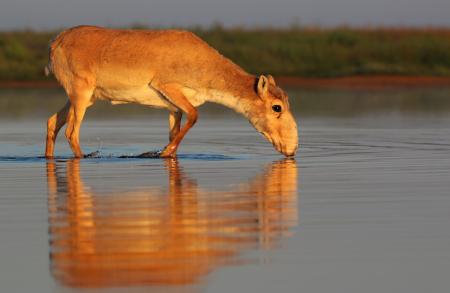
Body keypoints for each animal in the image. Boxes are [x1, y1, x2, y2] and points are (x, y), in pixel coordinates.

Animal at [44, 25, 298, 157]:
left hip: (86, 97)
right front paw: (165, 151)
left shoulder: (173, 107)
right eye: (277, 107)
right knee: (71, 132)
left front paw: (168, 151)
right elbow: (194, 115)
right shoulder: (167, 86)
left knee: (52, 122)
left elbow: (175, 130)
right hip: (81, 93)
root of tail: (56, 42)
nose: (293, 147)